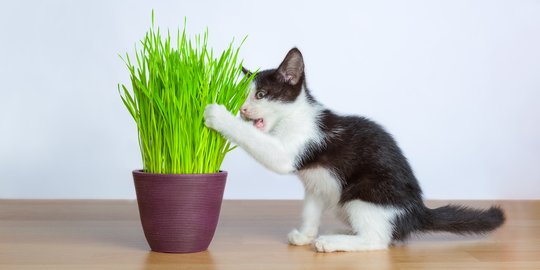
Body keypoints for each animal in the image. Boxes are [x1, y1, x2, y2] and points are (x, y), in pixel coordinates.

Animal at [205, 47, 504, 252]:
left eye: (261, 95)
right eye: (243, 97)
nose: (243, 111)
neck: (294, 116)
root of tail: (416, 211)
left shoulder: (300, 145)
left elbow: (269, 151)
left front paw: (218, 116)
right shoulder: (316, 184)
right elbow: (310, 209)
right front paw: (305, 234)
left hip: (363, 194)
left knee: (378, 240)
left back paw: (333, 242)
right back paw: (342, 233)